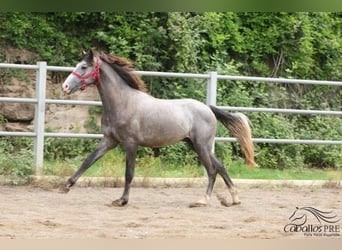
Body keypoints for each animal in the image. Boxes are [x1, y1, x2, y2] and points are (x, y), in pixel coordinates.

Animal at [60, 49, 256, 207]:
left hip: (201, 146)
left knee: (212, 170)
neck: (123, 102)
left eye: (83, 67)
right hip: (194, 144)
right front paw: (65, 186)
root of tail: (208, 108)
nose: (65, 86)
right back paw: (234, 198)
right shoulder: (110, 140)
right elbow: (88, 161)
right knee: (220, 165)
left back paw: (203, 200)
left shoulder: (130, 144)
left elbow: (129, 173)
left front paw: (122, 200)